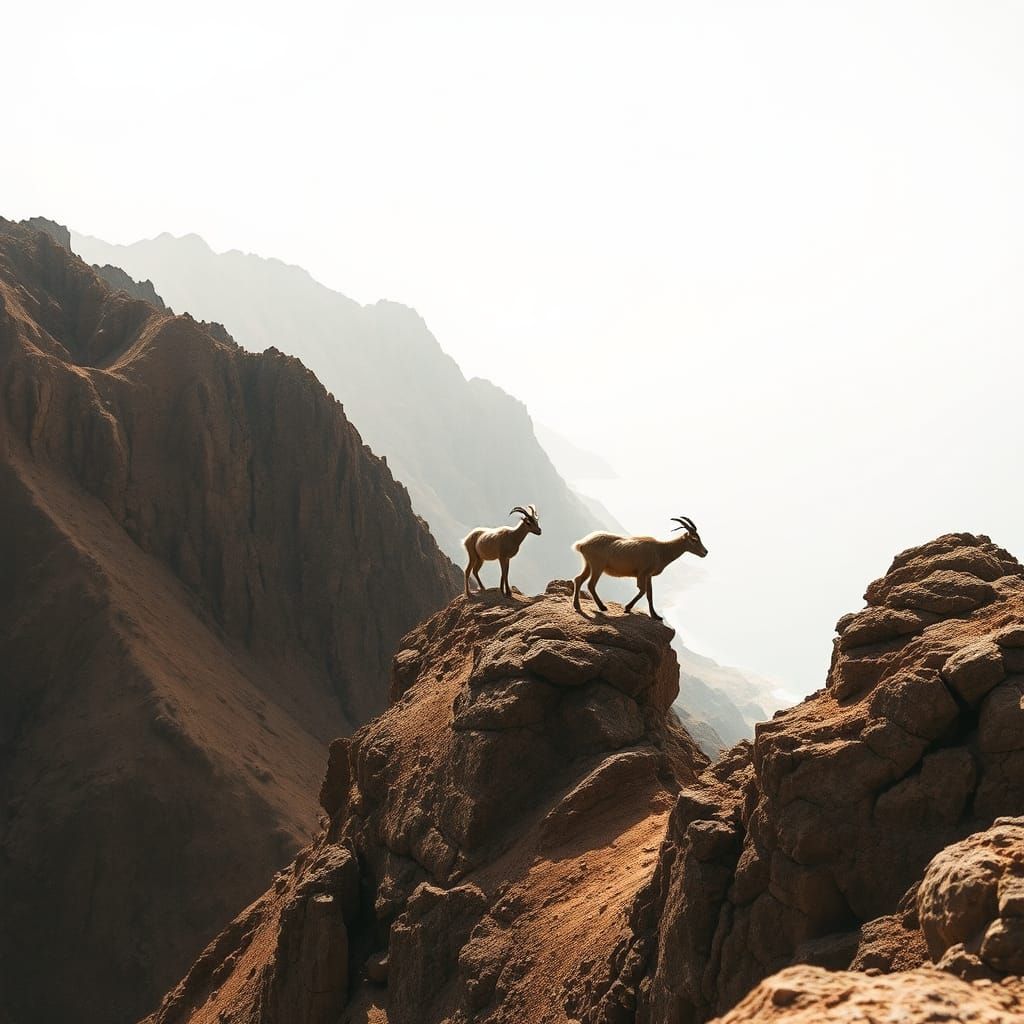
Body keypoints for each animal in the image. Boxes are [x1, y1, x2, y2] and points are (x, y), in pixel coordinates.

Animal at [571, 515, 707, 620]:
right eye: (694, 539)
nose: (705, 552)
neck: (661, 550)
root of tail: (582, 544)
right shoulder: (642, 573)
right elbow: (643, 591)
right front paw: (627, 608)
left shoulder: (648, 575)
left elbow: (650, 594)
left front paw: (656, 616)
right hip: (597, 566)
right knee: (591, 584)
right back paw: (602, 607)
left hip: (588, 564)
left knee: (578, 579)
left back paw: (577, 606)